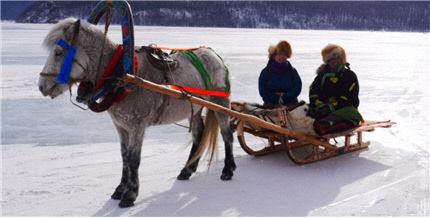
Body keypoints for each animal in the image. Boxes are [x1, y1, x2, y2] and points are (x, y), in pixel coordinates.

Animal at [37, 18, 237, 208]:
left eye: (58, 52)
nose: (41, 86)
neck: (123, 76)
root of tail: (214, 54)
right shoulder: (120, 125)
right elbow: (124, 156)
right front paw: (120, 189)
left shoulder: (137, 125)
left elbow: (133, 158)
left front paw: (130, 194)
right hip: (194, 108)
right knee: (198, 134)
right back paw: (187, 169)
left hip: (220, 102)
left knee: (227, 133)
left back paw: (228, 169)